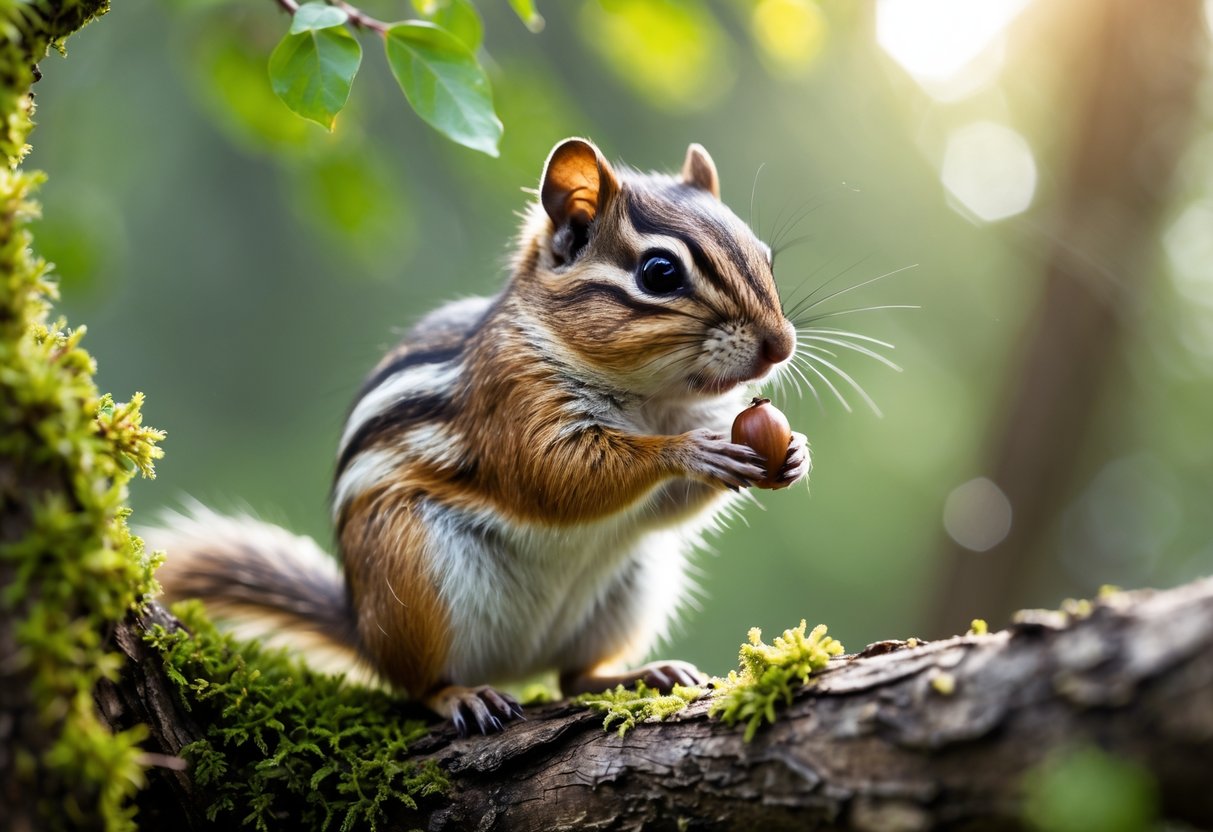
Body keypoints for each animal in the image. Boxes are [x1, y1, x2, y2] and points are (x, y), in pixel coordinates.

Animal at [148, 138, 809, 736]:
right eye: (660, 272)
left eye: (766, 256)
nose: (780, 345)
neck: (656, 400)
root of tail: (363, 629)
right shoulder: (510, 404)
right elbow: (559, 475)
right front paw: (689, 451)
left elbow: (665, 507)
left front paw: (794, 454)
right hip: (412, 573)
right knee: (418, 684)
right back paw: (461, 696)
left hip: (631, 588)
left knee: (573, 676)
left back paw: (644, 673)